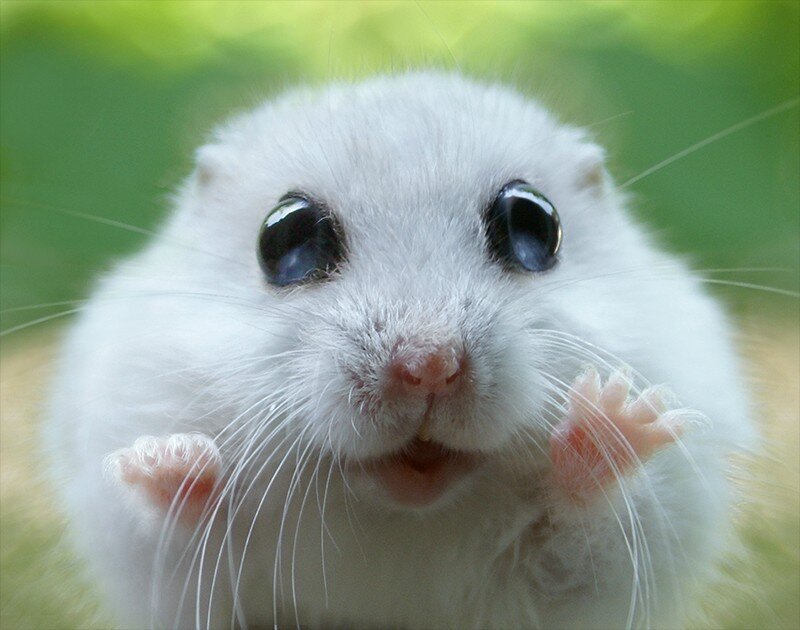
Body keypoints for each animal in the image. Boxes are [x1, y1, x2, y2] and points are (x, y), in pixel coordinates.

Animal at [47, 72, 756, 629]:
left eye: (536, 224)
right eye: (284, 238)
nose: (428, 366)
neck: (405, 508)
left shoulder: (607, 566)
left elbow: (582, 529)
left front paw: (616, 416)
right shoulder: (166, 570)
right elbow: (184, 526)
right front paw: (171, 458)